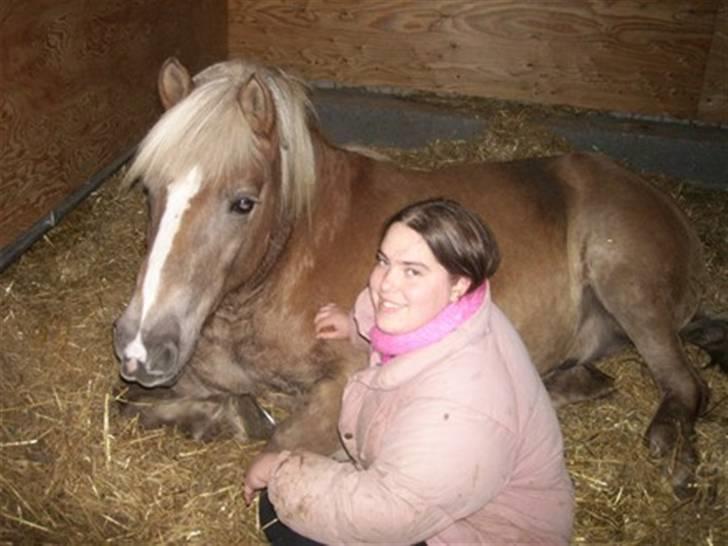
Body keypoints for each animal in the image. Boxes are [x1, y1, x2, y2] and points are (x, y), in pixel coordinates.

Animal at [111, 57, 724, 496]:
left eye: (243, 202)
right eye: (150, 190)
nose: (141, 345)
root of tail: (660, 199)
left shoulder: (346, 382)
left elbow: (278, 443)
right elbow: (128, 406)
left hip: (629, 288)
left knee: (687, 384)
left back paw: (675, 454)